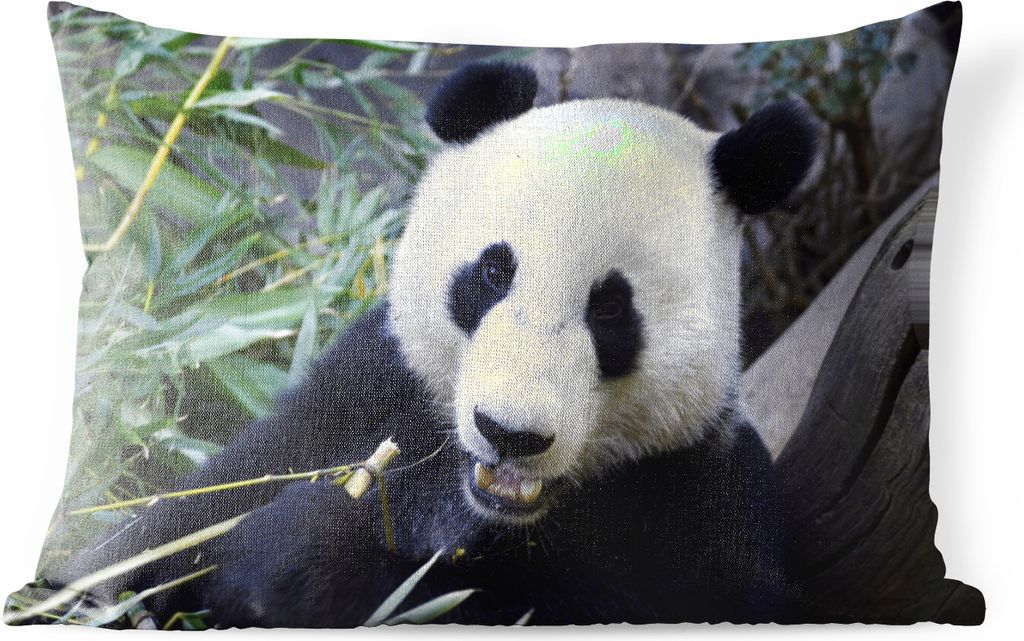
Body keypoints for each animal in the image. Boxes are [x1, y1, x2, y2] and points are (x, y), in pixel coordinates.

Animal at [54, 61, 816, 627]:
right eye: (493, 273)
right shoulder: (370, 389)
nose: (510, 433)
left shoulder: (692, 499)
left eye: (610, 309)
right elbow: (197, 515)